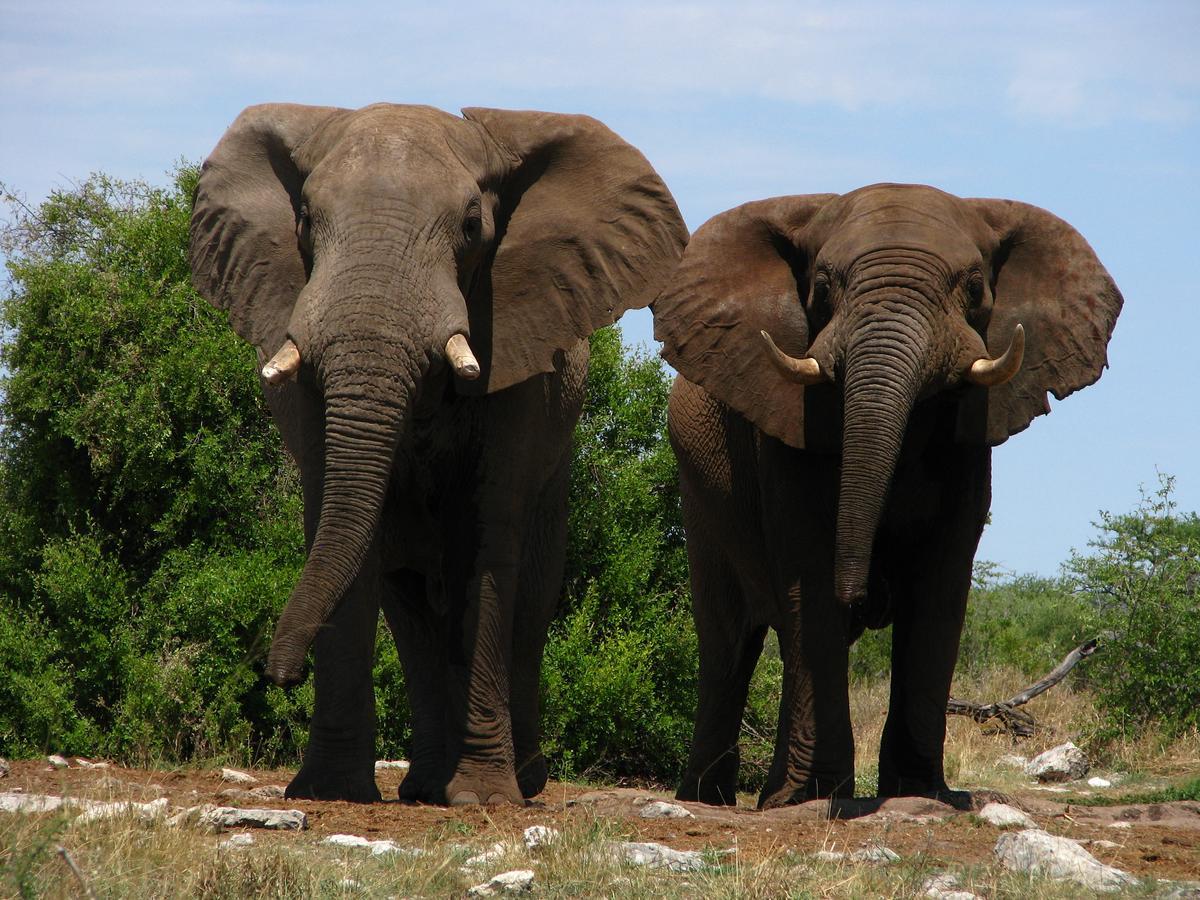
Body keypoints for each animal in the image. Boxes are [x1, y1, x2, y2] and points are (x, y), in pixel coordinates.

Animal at [192, 102, 691, 806]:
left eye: (472, 226)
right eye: (305, 220)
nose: (277, 672)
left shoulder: (515, 353)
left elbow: (484, 544)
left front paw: (483, 799)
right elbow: (341, 528)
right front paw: (329, 791)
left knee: (529, 597)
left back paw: (520, 781)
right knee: (409, 606)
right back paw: (427, 784)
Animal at [652, 183, 1118, 811]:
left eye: (975, 286)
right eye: (823, 288)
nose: (867, 592)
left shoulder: (971, 433)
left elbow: (940, 587)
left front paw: (922, 793)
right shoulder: (787, 422)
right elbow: (808, 573)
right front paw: (816, 796)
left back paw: (770, 794)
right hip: (699, 493)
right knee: (728, 642)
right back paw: (709, 799)